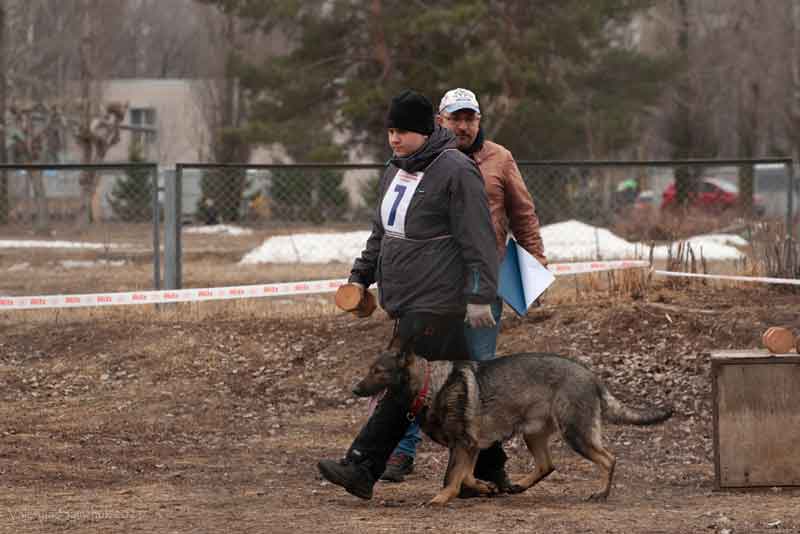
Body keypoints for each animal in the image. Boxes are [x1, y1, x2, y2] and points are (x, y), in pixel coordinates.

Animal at [354, 352, 672, 506]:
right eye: (369, 370)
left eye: (378, 372)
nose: (355, 389)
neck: (430, 386)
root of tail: (592, 376)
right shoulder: (470, 447)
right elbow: (465, 476)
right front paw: (485, 487)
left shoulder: (464, 445)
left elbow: (450, 477)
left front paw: (440, 499)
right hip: (533, 435)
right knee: (547, 465)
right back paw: (518, 485)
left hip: (575, 434)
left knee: (609, 459)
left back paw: (601, 493)